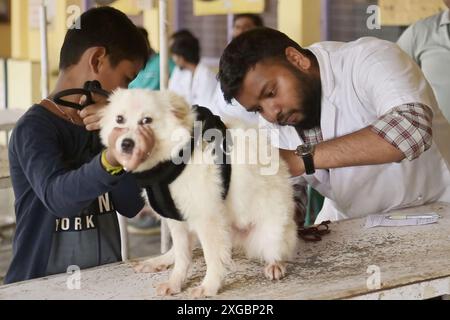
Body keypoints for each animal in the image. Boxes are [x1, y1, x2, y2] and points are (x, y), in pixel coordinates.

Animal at [100, 88, 298, 298]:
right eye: (119, 119)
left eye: (147, 120)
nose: (126, 144)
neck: (170, 161)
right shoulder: (176, 220)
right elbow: (182, 258)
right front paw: (175, 282)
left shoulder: (207, 219)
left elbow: (213, 258)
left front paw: (209, 286)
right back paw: (160, 261)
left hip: (270, 235)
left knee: (277, 251)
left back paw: (275, 265)